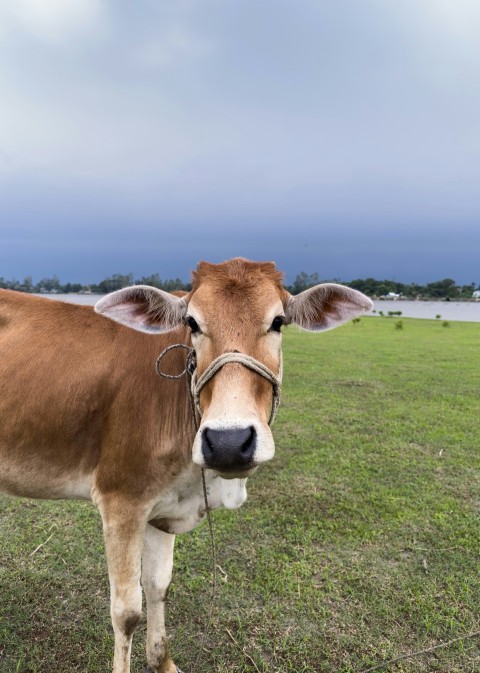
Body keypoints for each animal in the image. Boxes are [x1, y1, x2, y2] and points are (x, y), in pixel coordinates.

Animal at [0, 258, 372, 672]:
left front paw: (162, 661)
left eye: (278, 321)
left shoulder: (162, 508)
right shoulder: (121, 500)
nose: (229, 442)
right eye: (192, 323)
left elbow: (158, 586)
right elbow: (126, 611)